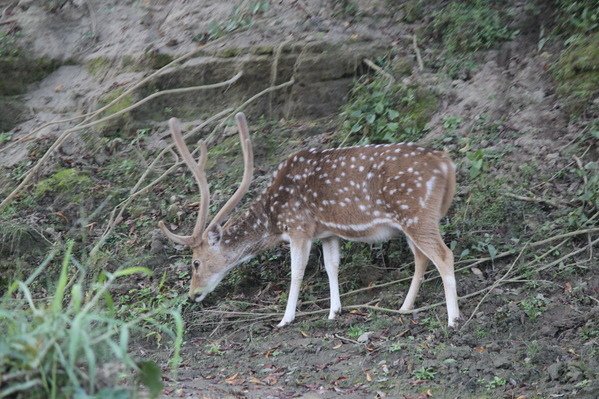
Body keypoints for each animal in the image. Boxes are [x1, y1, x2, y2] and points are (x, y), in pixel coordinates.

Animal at [158, 112, 460, 328]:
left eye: (195, 262)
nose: (192, 294)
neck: (275, 219)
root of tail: (446, 163)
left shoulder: (298, 227)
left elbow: (297, 271)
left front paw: (285, 319)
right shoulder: (327, 232)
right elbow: (331, 266)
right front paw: (334, 312)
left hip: (417, 214)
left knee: (444, 255)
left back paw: (453, 319)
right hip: (411, 222)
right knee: (421, 258)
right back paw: (405, 307)